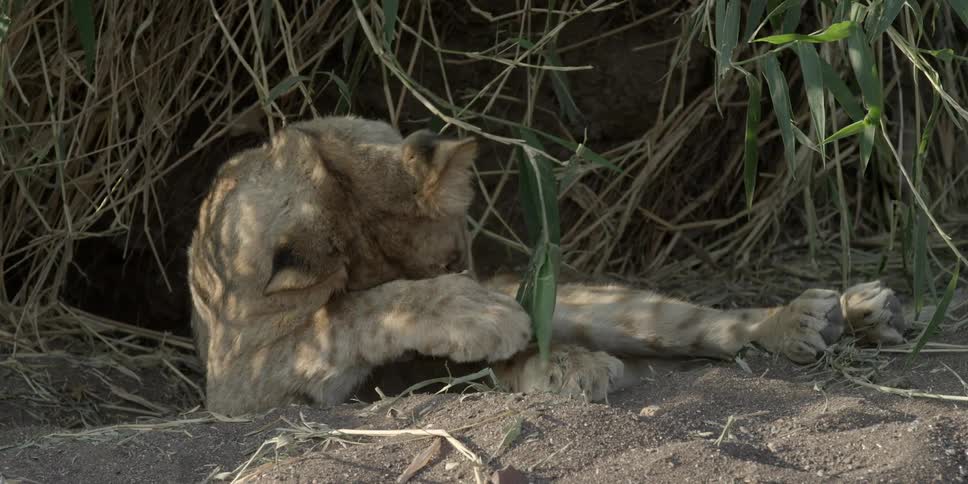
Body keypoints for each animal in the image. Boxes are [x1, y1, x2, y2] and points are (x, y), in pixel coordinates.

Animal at [187, 116, 909, 415]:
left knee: (713, 325)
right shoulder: (236, 381)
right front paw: (479, 322)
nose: (480, 286)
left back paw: (830, 316)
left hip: (597, 304)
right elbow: (345, 313)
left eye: (455, 258)